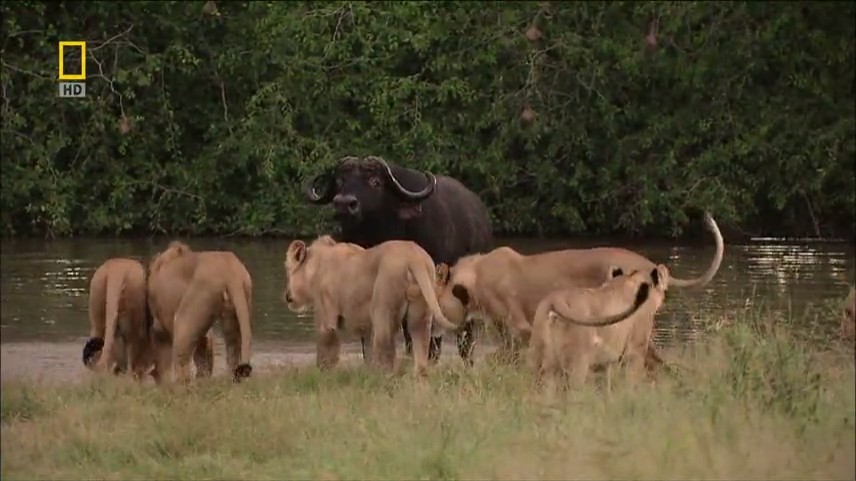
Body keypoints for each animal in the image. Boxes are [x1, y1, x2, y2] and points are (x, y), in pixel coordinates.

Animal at [147, 241, 253, 384]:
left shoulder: (161, 326)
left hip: (186, 318)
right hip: (233, 314)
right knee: (232, 351)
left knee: (183, 362)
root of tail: (231, 271)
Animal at [283, 236, 459, 377]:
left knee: (386, 349)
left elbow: (326, 350)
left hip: (383, 305)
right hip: (421, 313)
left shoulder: (327, 315)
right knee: (422, 349)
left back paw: (382, 379)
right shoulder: (364, 324)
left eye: (288, 270)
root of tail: (414, 257)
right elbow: (366, 350)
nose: (287, 295)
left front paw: (323, 375)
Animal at [528, 265, 670, 392]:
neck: (631, 278)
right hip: (578, 364)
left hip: (538, 362)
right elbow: (631, 380)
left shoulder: (611, 358)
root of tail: (555, 299)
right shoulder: (635, 350)